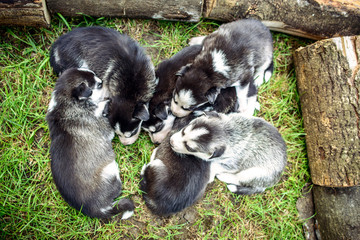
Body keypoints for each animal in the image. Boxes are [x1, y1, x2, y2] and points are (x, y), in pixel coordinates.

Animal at [46, 68, 134, 219]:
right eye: (99, 85)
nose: (104, 81)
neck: (66, 103)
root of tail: (96, 209)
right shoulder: (105, 128)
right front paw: (106, 103)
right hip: (110, 170)